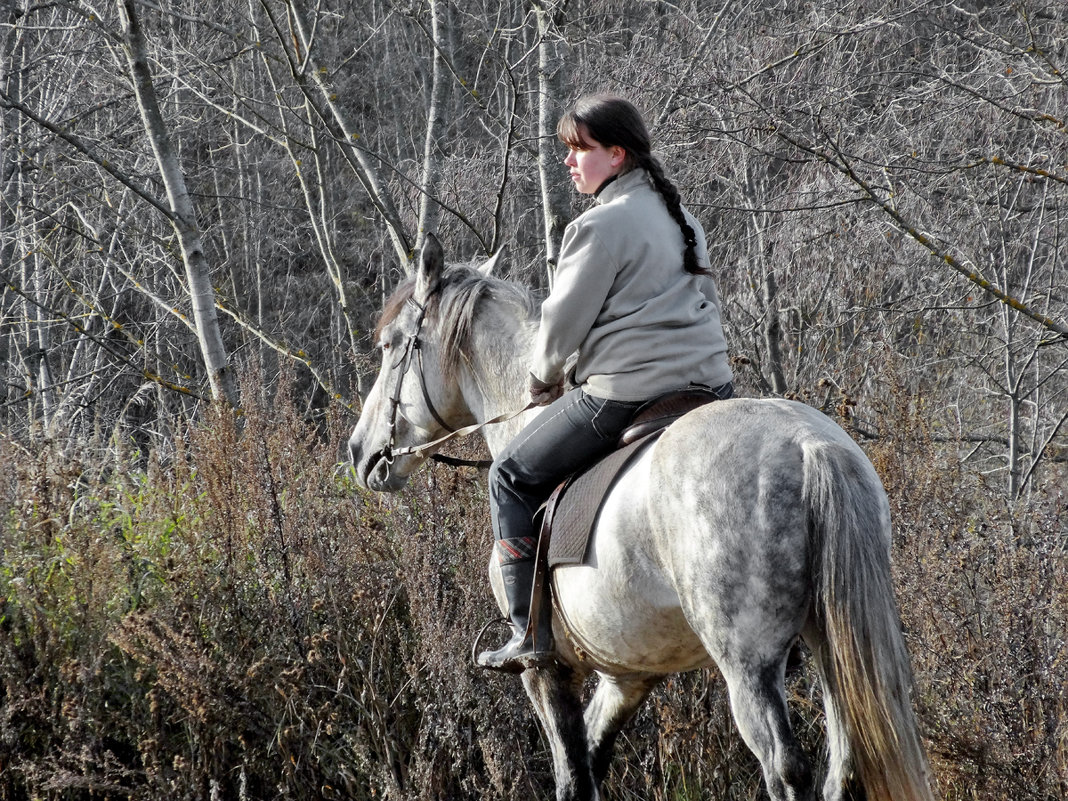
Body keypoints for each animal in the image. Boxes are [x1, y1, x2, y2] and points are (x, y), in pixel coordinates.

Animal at [346, 233, 931, 801]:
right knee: (842, 772)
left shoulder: (546, 671)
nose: (359, 451)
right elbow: (592, 762)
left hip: (749, 665)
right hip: (832, 651)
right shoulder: (628, 677)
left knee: (784, 771)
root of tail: (810, 445)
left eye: (391, 345)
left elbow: (572, 779)